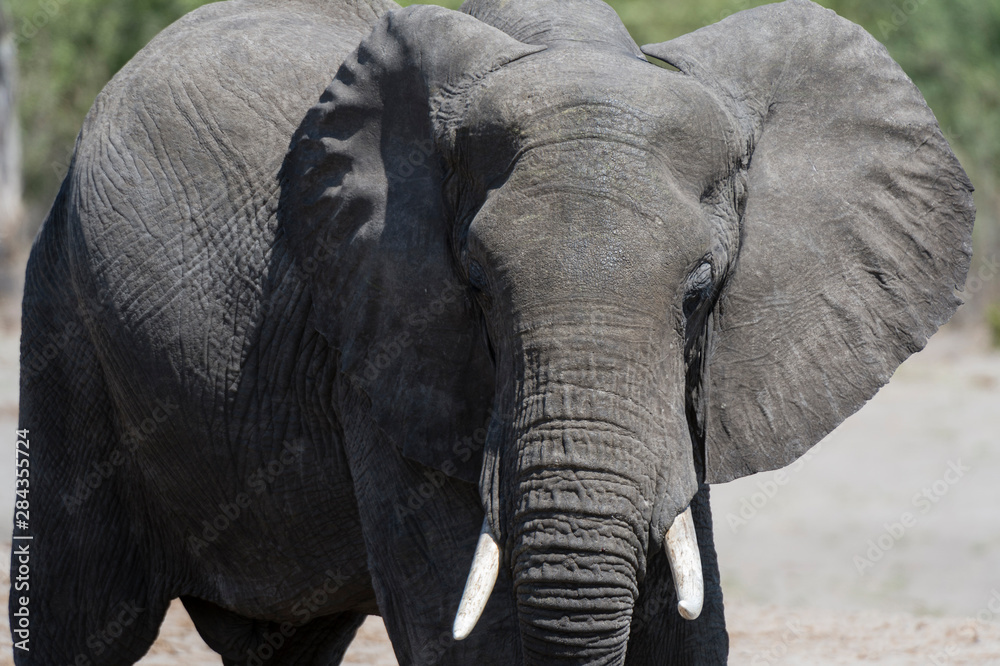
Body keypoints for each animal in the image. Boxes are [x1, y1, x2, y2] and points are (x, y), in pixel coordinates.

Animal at [12, 0, 974, 663]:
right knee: (76, 620)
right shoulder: (381, 340)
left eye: (701, 294)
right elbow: (464, 634)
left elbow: (689, 625)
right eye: (475, 285)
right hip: (62, 315)